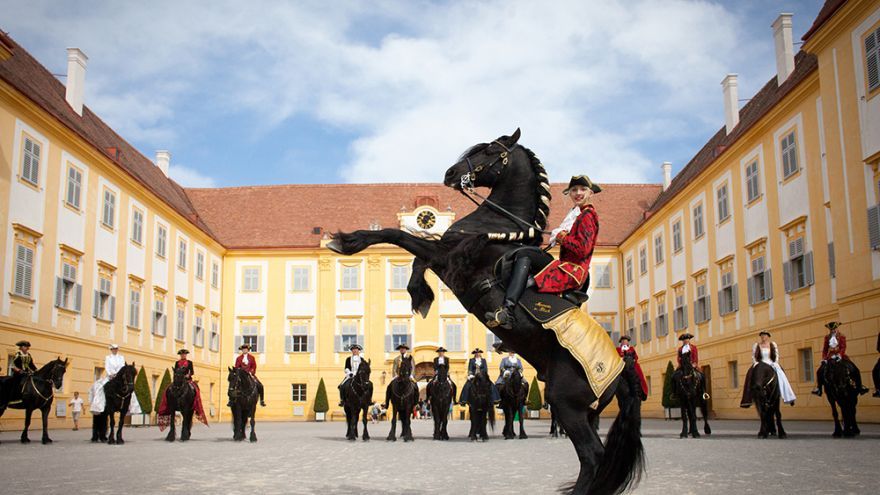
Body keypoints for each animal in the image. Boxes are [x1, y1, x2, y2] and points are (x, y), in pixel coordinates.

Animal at [326, 129, 644, 495]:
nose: (450, 173)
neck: (498, 226)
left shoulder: (450, 259)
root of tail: (620, 371)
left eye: (489, 150)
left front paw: (347, 241)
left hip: (568, 406)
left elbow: (399, 237)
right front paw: (419, 294)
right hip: (585, 413)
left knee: (592, 456)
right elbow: (415, 255)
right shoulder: (444, 257)